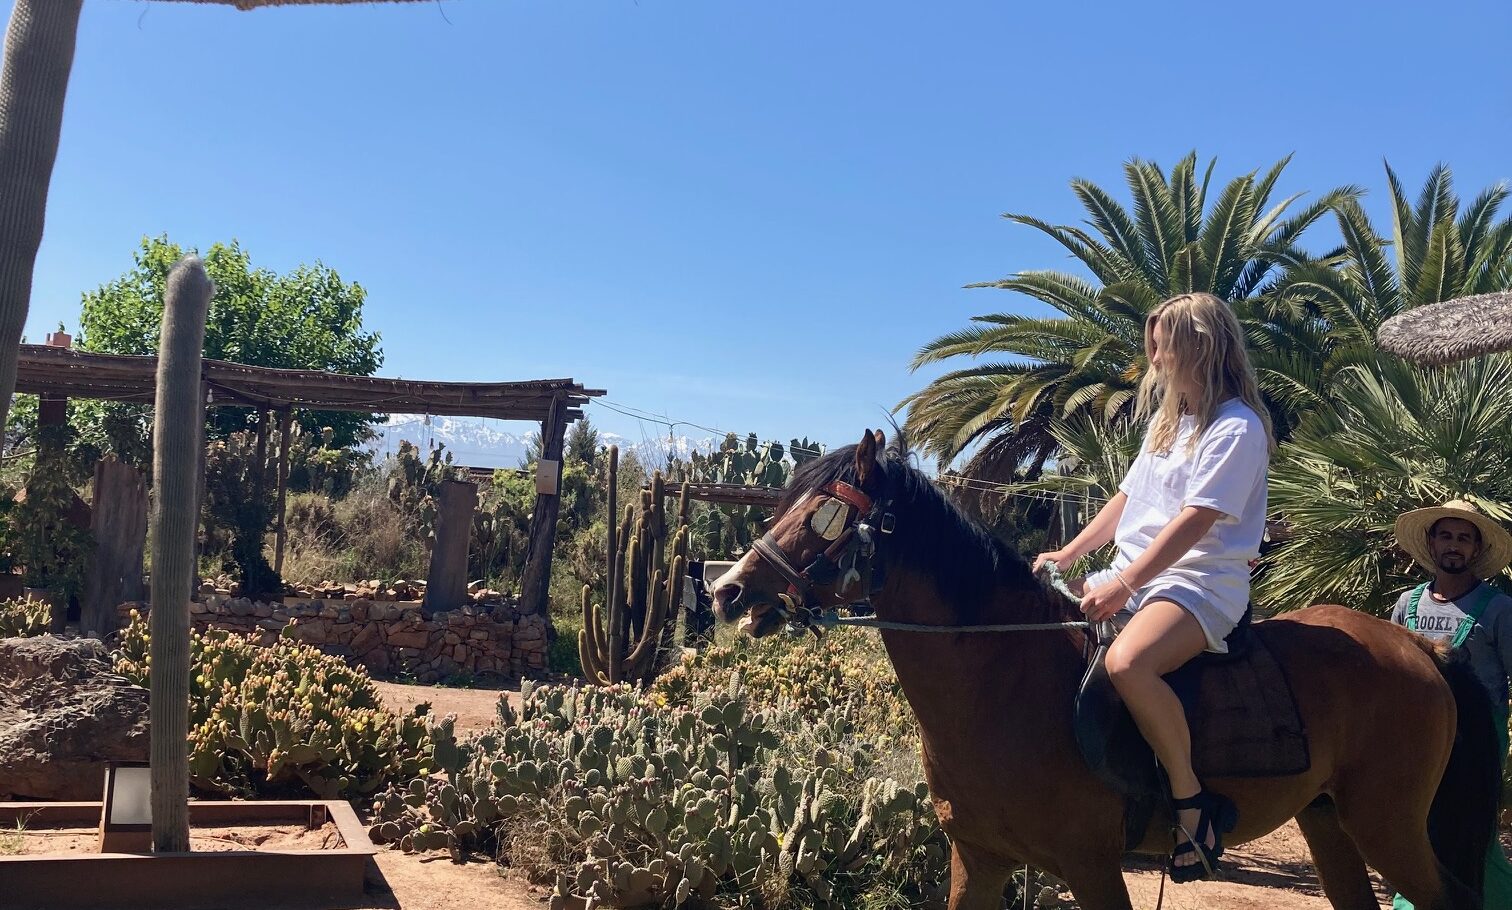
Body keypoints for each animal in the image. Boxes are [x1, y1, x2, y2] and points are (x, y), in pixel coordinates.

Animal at [709, 430, 1500, 910]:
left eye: (823, 518)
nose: (728, 592)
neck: (1004, 681)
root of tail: (1416, 647)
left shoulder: (1091, 868)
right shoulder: (978, 860)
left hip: (1389, 825)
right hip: (1332, 821)